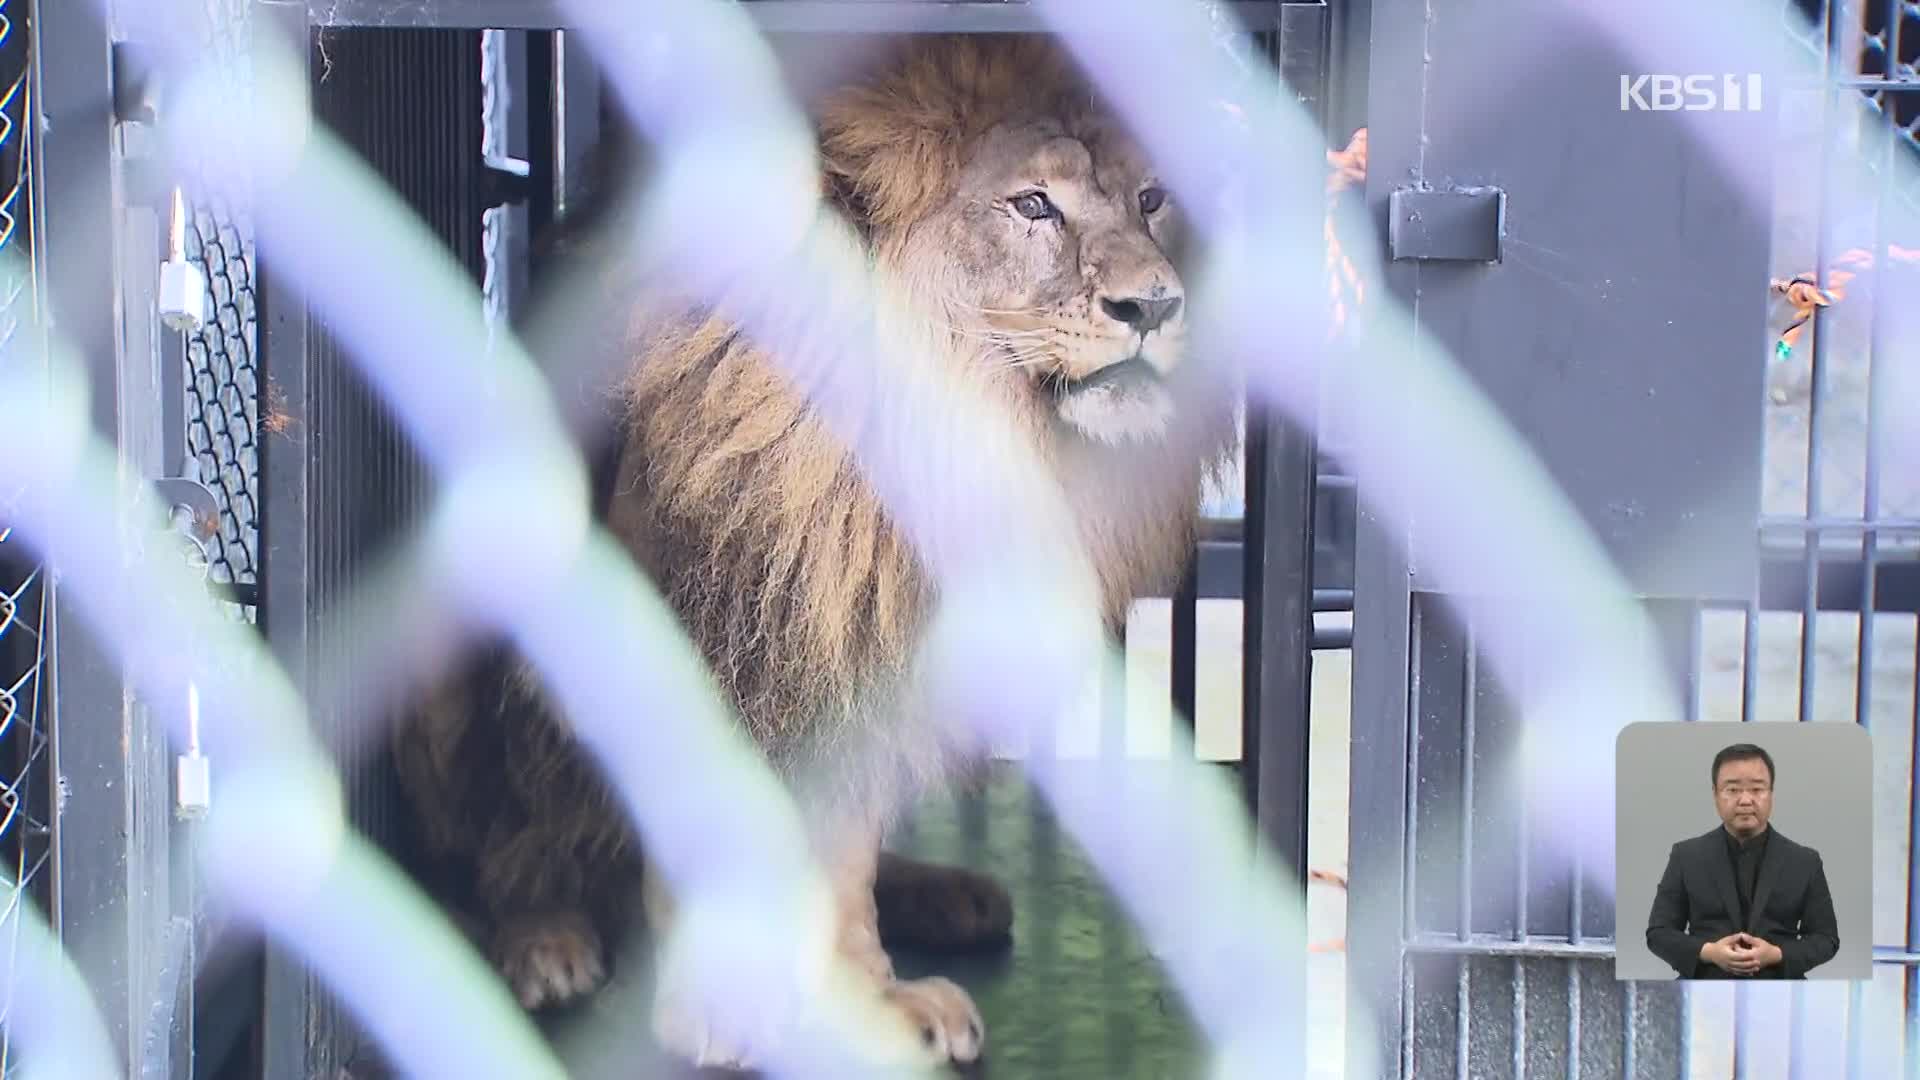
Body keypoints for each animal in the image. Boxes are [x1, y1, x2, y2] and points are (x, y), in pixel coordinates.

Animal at [395, 33, 1244, 1068]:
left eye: (1151, 199)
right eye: (1034, 204)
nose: (1156, 306)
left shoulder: (855, 629)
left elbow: (845, 848)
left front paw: (872, 996)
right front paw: (723, 1007)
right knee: (480, 854)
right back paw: (542, 940)